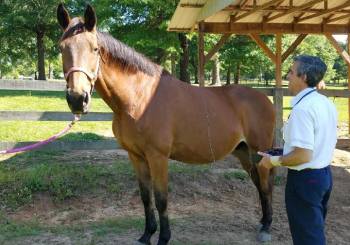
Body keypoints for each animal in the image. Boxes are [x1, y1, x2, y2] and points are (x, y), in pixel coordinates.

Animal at [56, 3, 276, 245]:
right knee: (258, 183)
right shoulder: (136, 156)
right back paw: (262, 221)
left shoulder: (157, 157)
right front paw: (146, 235)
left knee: (266, 185)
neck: (139, 97)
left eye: (95, 49)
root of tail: (266, 99)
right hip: (244, 152)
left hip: (259, 152)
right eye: (61, 48)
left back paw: (266, 227)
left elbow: (162, 199)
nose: (78, 98)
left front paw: (163, 238)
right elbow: (145, 197)